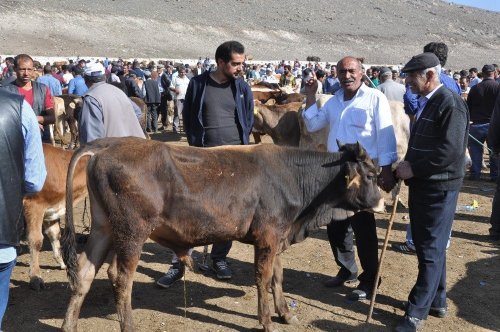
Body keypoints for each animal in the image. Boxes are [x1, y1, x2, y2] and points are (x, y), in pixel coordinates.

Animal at [23, 144, 89, 290]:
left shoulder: (51, 210)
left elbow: (55, 234)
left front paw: (62, 262)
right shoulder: (34, 205)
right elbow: (36, 240)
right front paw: (35, 277)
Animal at [60, 137, 384, 332]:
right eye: (370, 175)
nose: (382, 200)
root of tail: (107, 145)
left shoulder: (277, 235)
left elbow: (278, 277)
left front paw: (285, 314)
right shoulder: (268, 235)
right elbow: (264, 279)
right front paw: (267, 321)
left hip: (104, 227)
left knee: (85, 273)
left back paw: (69, 325)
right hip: (131, 232)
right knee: (121, 278)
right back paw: (128, 326)